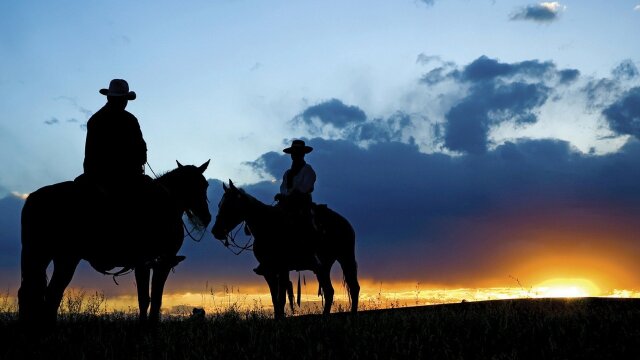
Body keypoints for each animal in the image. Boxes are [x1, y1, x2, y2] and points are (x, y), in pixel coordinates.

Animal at [17, 160, 211, 326]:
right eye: (193, 185)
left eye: (205, 185)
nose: (207, 217)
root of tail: (34, 197)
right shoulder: (154, 262)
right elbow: (149, 298)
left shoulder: (152, 263)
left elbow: (151, 298)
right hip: (66, 258)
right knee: (50, 293)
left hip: (44, 256)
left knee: (35, 293)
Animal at [211, 180, 358, 318]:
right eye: (219, 205)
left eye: (229, 205)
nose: (215, 231)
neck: (267, 227)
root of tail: (345, 222)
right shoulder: (269, 272)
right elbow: (275, 300)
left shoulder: (282, 268)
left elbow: (281, 299)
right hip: (323, 267)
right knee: (329, 291)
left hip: (346, 258)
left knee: (353, 287)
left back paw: (352, 314)